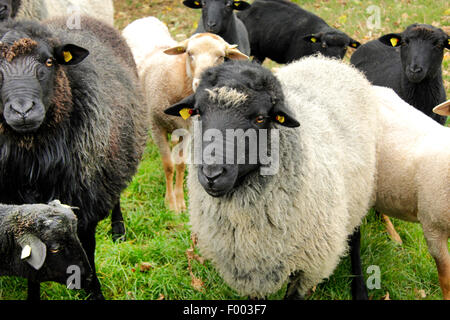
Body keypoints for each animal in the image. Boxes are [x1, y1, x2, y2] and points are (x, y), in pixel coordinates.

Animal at [0, 17, 149, 298]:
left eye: (49, 61)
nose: (22, 110)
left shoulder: (87, 201)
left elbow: (88, 250)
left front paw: (95, 292)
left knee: (116, 196)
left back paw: (118, 229)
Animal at [123, 18, 248, 212]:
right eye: (189, 53)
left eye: (221, 56)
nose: (201, 82)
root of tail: (144, 19)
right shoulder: (156, 126)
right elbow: (168, 165)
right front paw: (170, 203)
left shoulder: (188, 130)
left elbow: (181, 164)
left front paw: (180, 202)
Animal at [163, 56, 378, 298]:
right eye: (198, 112)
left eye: (259, 118)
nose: (212, 174)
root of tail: (329, 61)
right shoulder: (248, 272)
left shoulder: (307, 267)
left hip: (360, 190)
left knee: (356, 235)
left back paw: (359, 288)